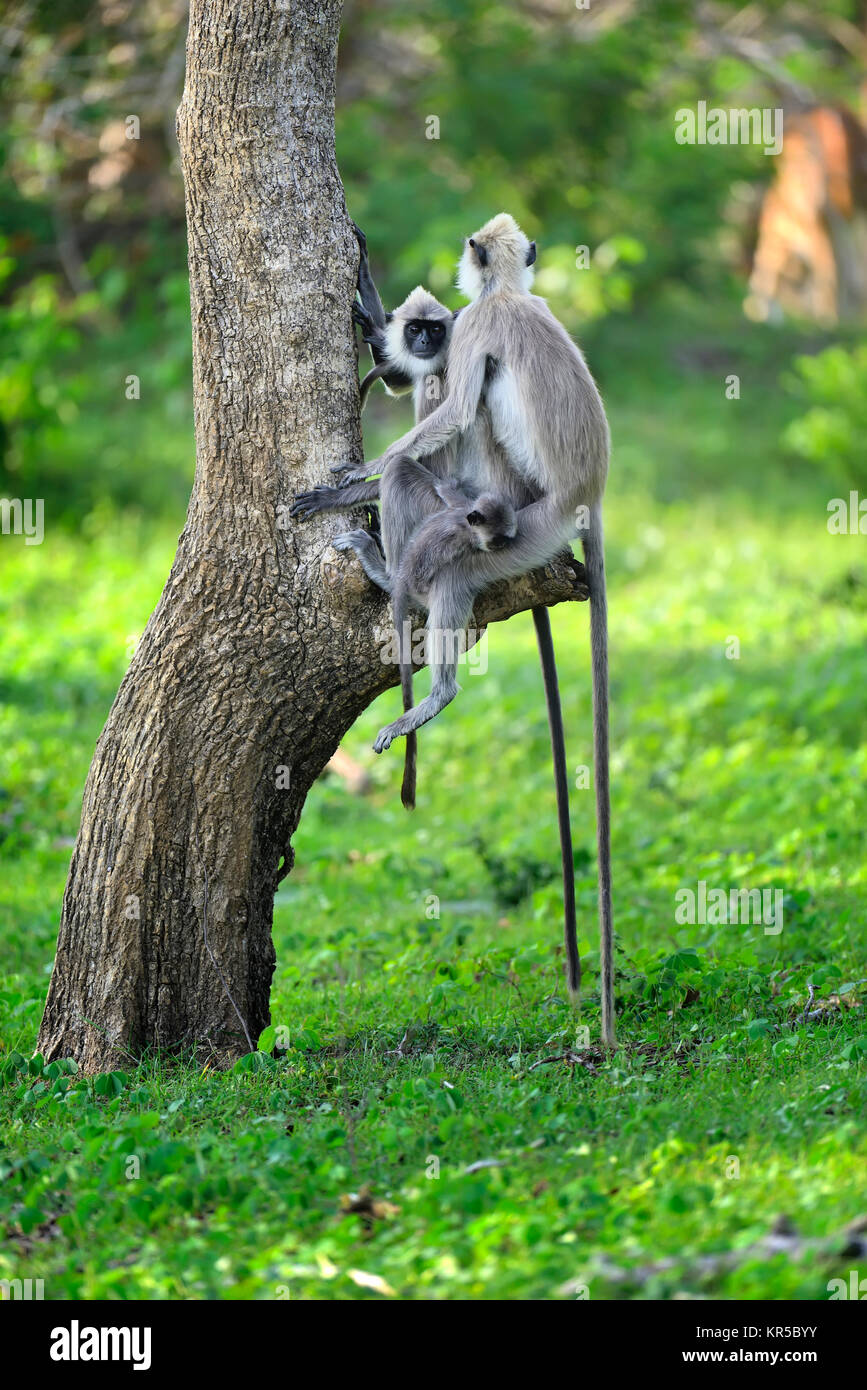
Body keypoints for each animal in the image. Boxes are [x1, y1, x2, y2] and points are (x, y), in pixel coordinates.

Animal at [332, 214, 613, 1043]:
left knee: (435, 501)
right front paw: (369, 308)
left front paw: (337, 488)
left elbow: (452, 409)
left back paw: (412, 625)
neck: (509, 296)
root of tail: (585, 497)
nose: (426, 334)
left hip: (507, 523)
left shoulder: (473, 327)